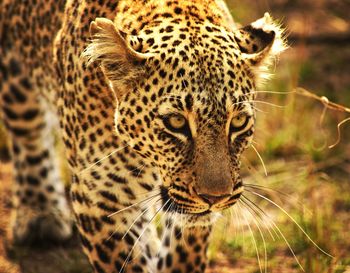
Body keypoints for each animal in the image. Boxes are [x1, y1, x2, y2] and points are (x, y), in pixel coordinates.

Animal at [0, 0, 284, 270]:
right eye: (176, 122)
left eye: (238, 121)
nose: (215, 198)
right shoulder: (101, 196)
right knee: (28, 132)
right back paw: (39, 213)